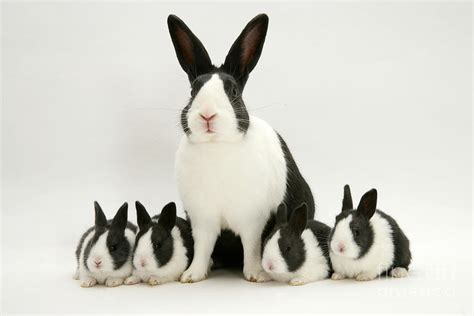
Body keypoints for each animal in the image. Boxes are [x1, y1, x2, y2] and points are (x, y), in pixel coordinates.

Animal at [169, 13, 314, 282]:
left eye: (234, 92)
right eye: (193, 91)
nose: (207, 115)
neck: (216, 146)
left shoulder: (253, 219)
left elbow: (252, 245)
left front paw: (256, 274)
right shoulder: (202, 219)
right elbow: (203, 247)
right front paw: (193, 275)